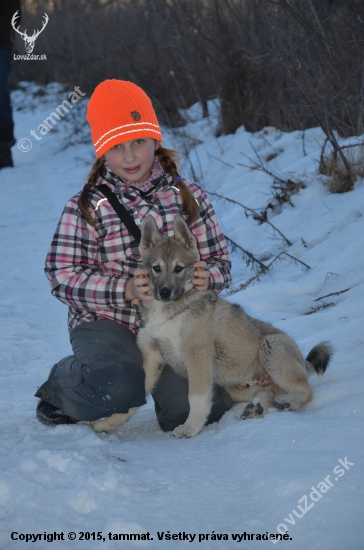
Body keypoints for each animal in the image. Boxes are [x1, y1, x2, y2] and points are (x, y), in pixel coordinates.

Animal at [91, 216, 332, 440]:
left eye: (179, 268)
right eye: (156, 268)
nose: (165, 292)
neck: (168, 312)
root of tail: (302, 361)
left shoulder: (197, 356)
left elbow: (195, 398)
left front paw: (189, 429)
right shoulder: (151, 359)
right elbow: (135, 400)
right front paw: (108, 423)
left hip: (271, 347)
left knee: (306, 390)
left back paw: (287, 403)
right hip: (234, 385)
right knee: (267, 391)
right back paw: (256, 409)